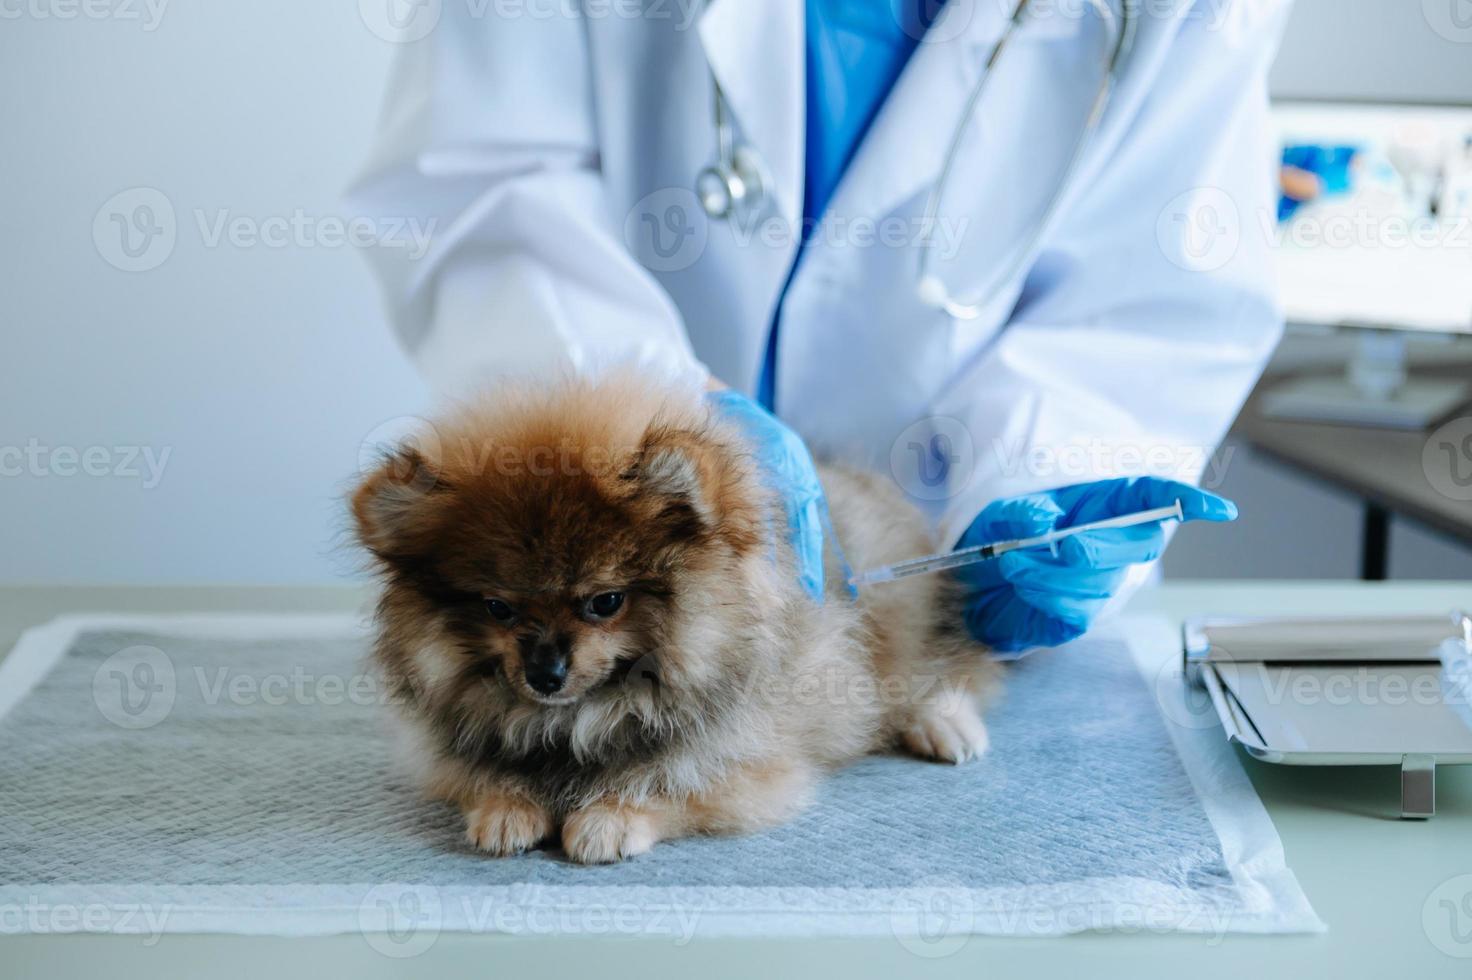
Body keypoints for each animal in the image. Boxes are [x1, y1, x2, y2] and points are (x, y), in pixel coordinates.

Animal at [353, 375, 1000, 865]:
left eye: (605, 601)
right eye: (498, 607)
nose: (545, 673)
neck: (584, 719)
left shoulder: (755, 766)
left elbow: (676, 785)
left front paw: (610, 816)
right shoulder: (449, 760)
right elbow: (477, 779)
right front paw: (506, 804)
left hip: (899, 612)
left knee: (947, 665)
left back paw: (944, 723)